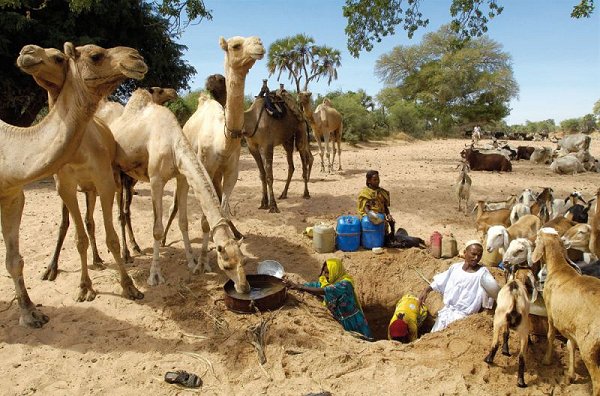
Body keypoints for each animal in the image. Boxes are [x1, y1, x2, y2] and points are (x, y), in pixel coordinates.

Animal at [1, 43, 147, 328]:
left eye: (58, 57)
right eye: (96, 56)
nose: (137, 56)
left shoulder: (104, 182)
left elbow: (111, 236)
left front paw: (129, 286)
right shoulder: (64, 186)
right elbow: (76, 236)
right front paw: (83, 287)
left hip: (107, 182)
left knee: (110, 217)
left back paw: (114, 255)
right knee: (85, 223)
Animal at [244, 84, 314, 213]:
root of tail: (301, 115)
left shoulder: (267, 146)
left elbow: (269, 176)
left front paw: (273, 206)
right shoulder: (252, 148)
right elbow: (262, 174)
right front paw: (263, 203)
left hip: (301, 131)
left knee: (304, 163)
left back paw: (306, 194)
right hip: (287, 141)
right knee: (291, 166)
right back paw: (283, 194)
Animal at [528, 229, 600, 392]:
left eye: (538, 236)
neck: (559, 268)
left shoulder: (551, 314)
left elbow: (550, 335)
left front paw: (546, 360)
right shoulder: (569, 322)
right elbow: (570, 345)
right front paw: (570, 376)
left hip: (589, 347)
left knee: (597, 380)